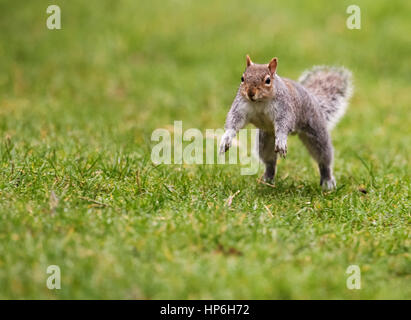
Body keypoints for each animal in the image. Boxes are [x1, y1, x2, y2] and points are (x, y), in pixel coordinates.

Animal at [220, 55, 352, 190]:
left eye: (268, 80)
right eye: (242, 78)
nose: (250, 93)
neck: (259, 102)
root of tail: (315, 100)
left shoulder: (284, 108)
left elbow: (284, 124)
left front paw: (282, 140)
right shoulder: (241, 107)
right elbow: (234, 121)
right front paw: (226, 139)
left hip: (316, 132)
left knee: (324, 158)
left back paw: (327, 181)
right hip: (266, 139)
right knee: (270, 161)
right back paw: (268, 179)